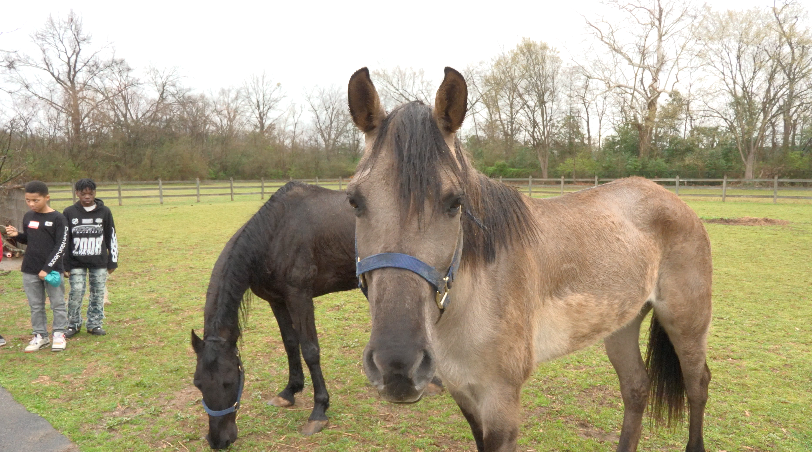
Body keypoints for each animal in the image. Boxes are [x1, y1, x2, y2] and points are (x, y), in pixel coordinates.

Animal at [191, 181, 357, 449]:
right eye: (198, 383)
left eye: (229, 381)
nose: (218, 441)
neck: (273, 234)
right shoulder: (277, 301)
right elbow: (290, 344)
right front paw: (289, 392)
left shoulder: (300, 297)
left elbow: (310, 350)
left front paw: (319, 411)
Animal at [346, 67, 712, 452]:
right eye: (354, 201)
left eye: (455, 202)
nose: (397, 364)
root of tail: (673, 199)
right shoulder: (464, 393)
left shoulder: (501, 403)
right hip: (622, 324)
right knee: (636, 388)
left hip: (686, 322)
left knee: (697, 385)